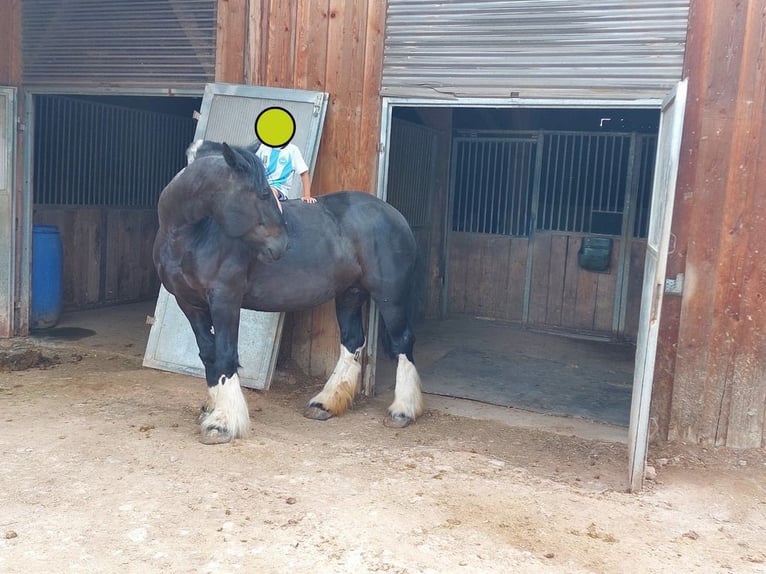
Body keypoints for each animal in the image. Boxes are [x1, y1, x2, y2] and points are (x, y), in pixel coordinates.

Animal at [153, 141, 424, 444]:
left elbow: (224, 354)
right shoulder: (189, 304)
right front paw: (211, 410)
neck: (189, 236)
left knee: (402, 341)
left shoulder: (225, 300)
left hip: (390, 296)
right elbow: (208, 354)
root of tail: (394, 215)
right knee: (352, 340)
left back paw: (402, 411)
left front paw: (222, 423)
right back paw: (324, 403)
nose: (282, 246)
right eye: (262, 194)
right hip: (350, 293)